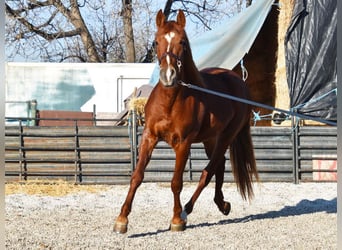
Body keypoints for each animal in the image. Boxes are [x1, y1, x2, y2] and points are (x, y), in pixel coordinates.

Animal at [113, 8, 258, 233]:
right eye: (156, 41)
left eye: (182, 41)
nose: (168, 75)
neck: (170, 102)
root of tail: (239, 82)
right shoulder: (149, 137)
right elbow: (137, 176)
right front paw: (121, 220)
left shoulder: (183, 144)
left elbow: (176, 182)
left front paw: (176, 219)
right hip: (210, 139)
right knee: (219, 165)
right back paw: (221, 204)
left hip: (226, 136)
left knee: (208, 171)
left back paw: (186, 211)